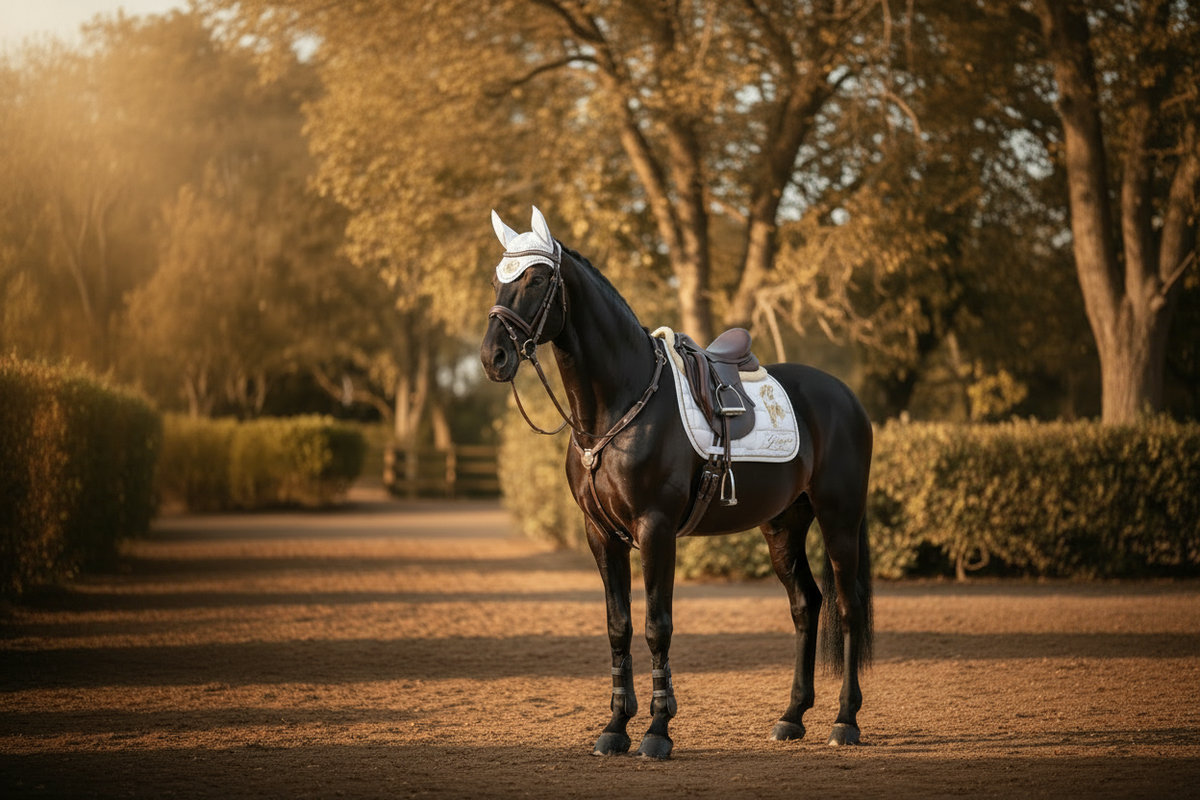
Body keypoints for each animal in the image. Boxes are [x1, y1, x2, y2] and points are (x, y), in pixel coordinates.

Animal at [480, 207, 874, 759]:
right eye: (499, 277)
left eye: (537, 279)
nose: (492, 356)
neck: (618, 405)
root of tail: (846, 396)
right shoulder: (601, 535)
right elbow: (618, 627)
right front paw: (614, 728)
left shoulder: (656, 529)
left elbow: (656, 627)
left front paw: (657, 731)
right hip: (783, 525)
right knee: (806, 605)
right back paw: (792, 716)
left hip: (840, 518)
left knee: (849, 606)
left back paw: (845, 721)